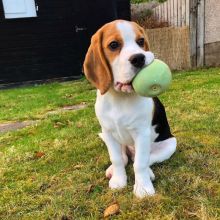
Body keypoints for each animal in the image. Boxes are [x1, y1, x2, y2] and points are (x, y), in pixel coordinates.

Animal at [82, 19, 177, 199]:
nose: (139, 58)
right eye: (113, 45)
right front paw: (119, 181)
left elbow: (140, 163)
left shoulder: (142, 133)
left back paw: (149, 173)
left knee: (144, 159)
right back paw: (112, 170)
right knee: (126, 158)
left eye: (140, 41)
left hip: (170, 143)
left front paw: (143, 188)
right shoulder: (108, 132)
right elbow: (117, 159)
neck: (120, 98)